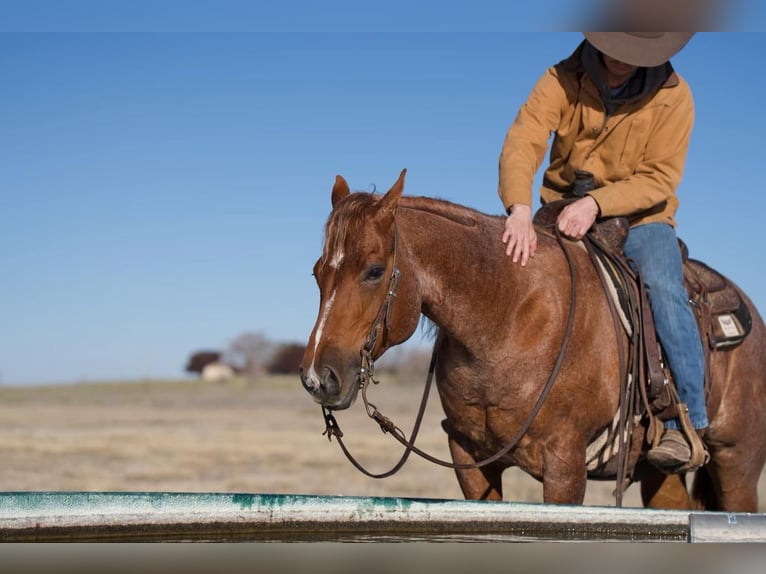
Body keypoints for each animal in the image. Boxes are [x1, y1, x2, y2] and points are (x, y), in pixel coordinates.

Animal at [298, 169, 766, 510]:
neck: (507, 319)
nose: (318, 377)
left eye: (375, 270)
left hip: (737, 464)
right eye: (318, 272)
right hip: (658, 474)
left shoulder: (565, 467)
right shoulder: (469, 459)